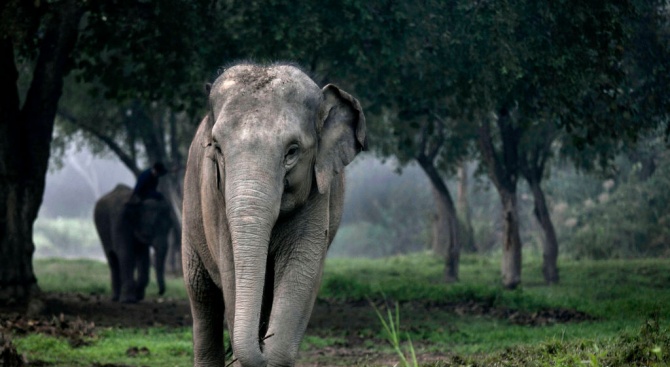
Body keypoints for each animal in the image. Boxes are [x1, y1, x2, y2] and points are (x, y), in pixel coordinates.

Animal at [182, 63, 368, 367]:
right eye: (217, 148)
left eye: (292, 152)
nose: (261, 343)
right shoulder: (216, 200)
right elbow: (231, 273)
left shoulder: (318, 193)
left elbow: (300, 268)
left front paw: (271, 350)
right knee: (201, 296)